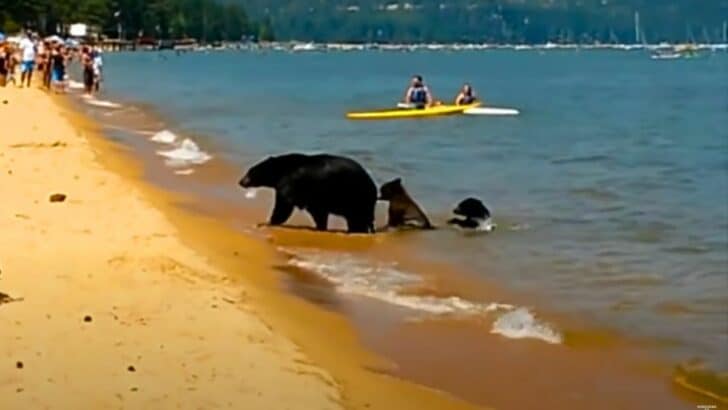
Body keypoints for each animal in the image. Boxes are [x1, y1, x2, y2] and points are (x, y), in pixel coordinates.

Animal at [239, 153, 377, 233]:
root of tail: (373, 187)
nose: (240, 181)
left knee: (358, 219)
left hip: (357, 198)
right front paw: (320, 227)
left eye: (250, 171)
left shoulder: (291, 182)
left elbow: (284, 205)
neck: (280, 169)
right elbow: (317, 212)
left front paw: (269, 222)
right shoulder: (312, 197)